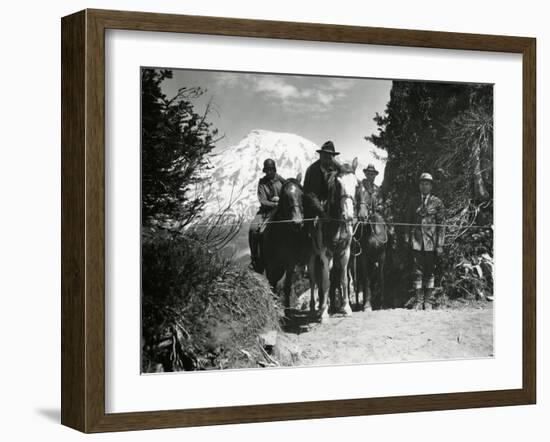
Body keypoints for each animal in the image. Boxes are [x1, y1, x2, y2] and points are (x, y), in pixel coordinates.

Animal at [260, 173, 310, 308]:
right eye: (285, 196)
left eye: (302, 195)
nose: (297, 223)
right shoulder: (270, 266)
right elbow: (272, 287)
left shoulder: (290, 264)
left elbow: (287, 287)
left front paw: (287, 308)